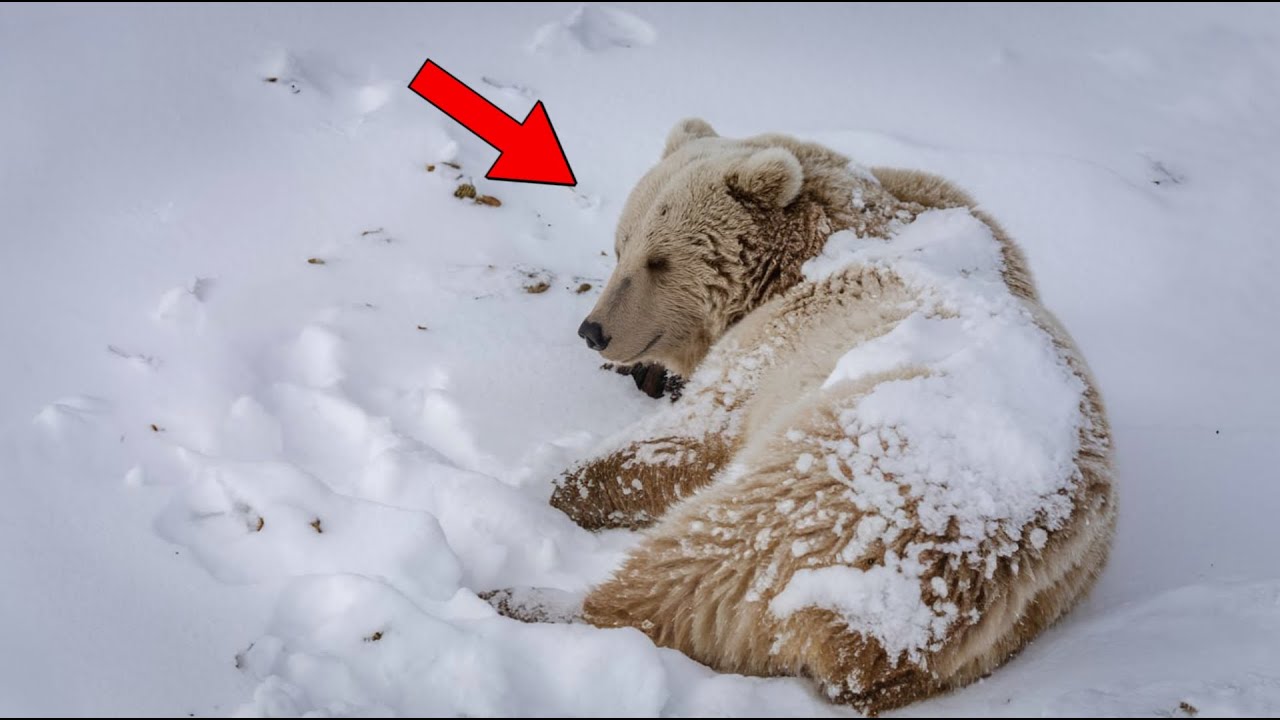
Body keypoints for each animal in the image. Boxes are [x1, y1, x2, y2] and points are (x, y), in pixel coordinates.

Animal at [544, 119, 1115, 713]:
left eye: (659, 260)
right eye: (620, 246)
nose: (594, 330)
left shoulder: (785, 337)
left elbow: (697, 436)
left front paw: (567, 484)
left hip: (839, 489)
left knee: (705, 560)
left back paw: (543, 601)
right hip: (1018, 608)